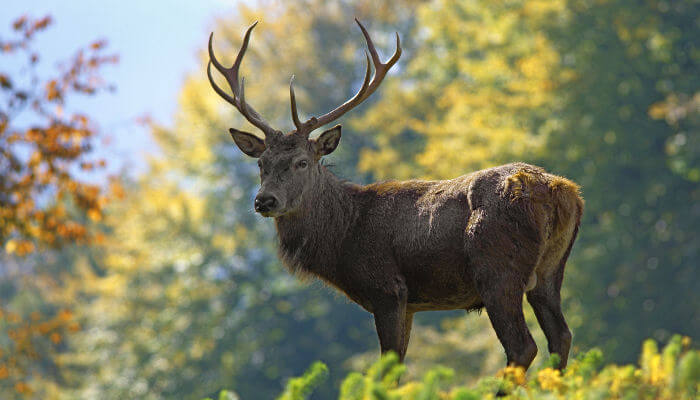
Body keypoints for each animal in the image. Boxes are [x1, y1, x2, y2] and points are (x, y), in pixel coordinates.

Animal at [208, 19, 584, 372]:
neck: (344, 235)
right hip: (550, 272)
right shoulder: (411, 303)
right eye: (261, 163)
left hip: (496, 267)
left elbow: (387, 368)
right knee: (561, 337)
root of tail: (563, 191)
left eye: (302, 162)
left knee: (522, 346)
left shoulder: (387, 289)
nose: (264, 201)